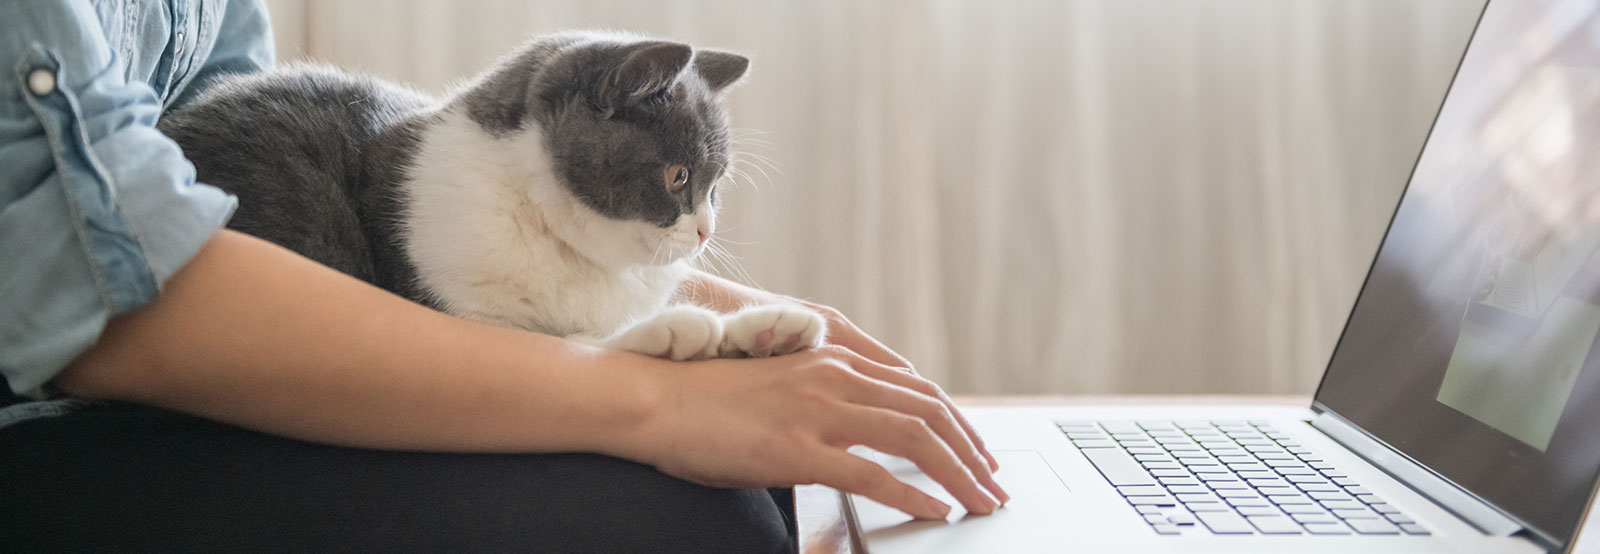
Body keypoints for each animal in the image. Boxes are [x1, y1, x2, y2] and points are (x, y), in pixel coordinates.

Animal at [160, 31, 825, 358]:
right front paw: (670, 331)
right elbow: (556, 341)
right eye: (679, 177)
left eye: (717, 184)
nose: (705, 230)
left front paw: (768, 328)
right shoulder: (455, 314)